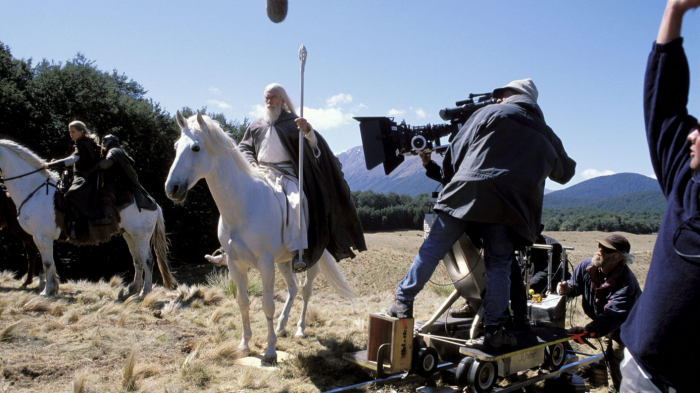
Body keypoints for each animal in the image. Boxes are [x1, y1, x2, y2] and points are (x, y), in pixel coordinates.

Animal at [0, 139, 174, 296]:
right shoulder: (37, 238)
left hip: (141, 236)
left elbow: (47, 263)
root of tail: (154, 204)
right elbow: (47, 263)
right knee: (137, 261)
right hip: (129, 235)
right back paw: (134, 289)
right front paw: (52, 288)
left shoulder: (42, 237)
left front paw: (47, 290)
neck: (34, 189)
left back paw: (145, 292)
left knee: (148, 261)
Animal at [165, 109, 356, 362]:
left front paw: (270, 350)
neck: (244, 204)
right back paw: (282, 326)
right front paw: (245, 344)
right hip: (285, 261)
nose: (172, 189)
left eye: (196, 148)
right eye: (176, 147)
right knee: (293, 288)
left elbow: (267, 305)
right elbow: (243, 302)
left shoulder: (265, 264)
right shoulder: (235, 264)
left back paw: (299, 329)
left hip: (311, 260)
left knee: (305, 291)